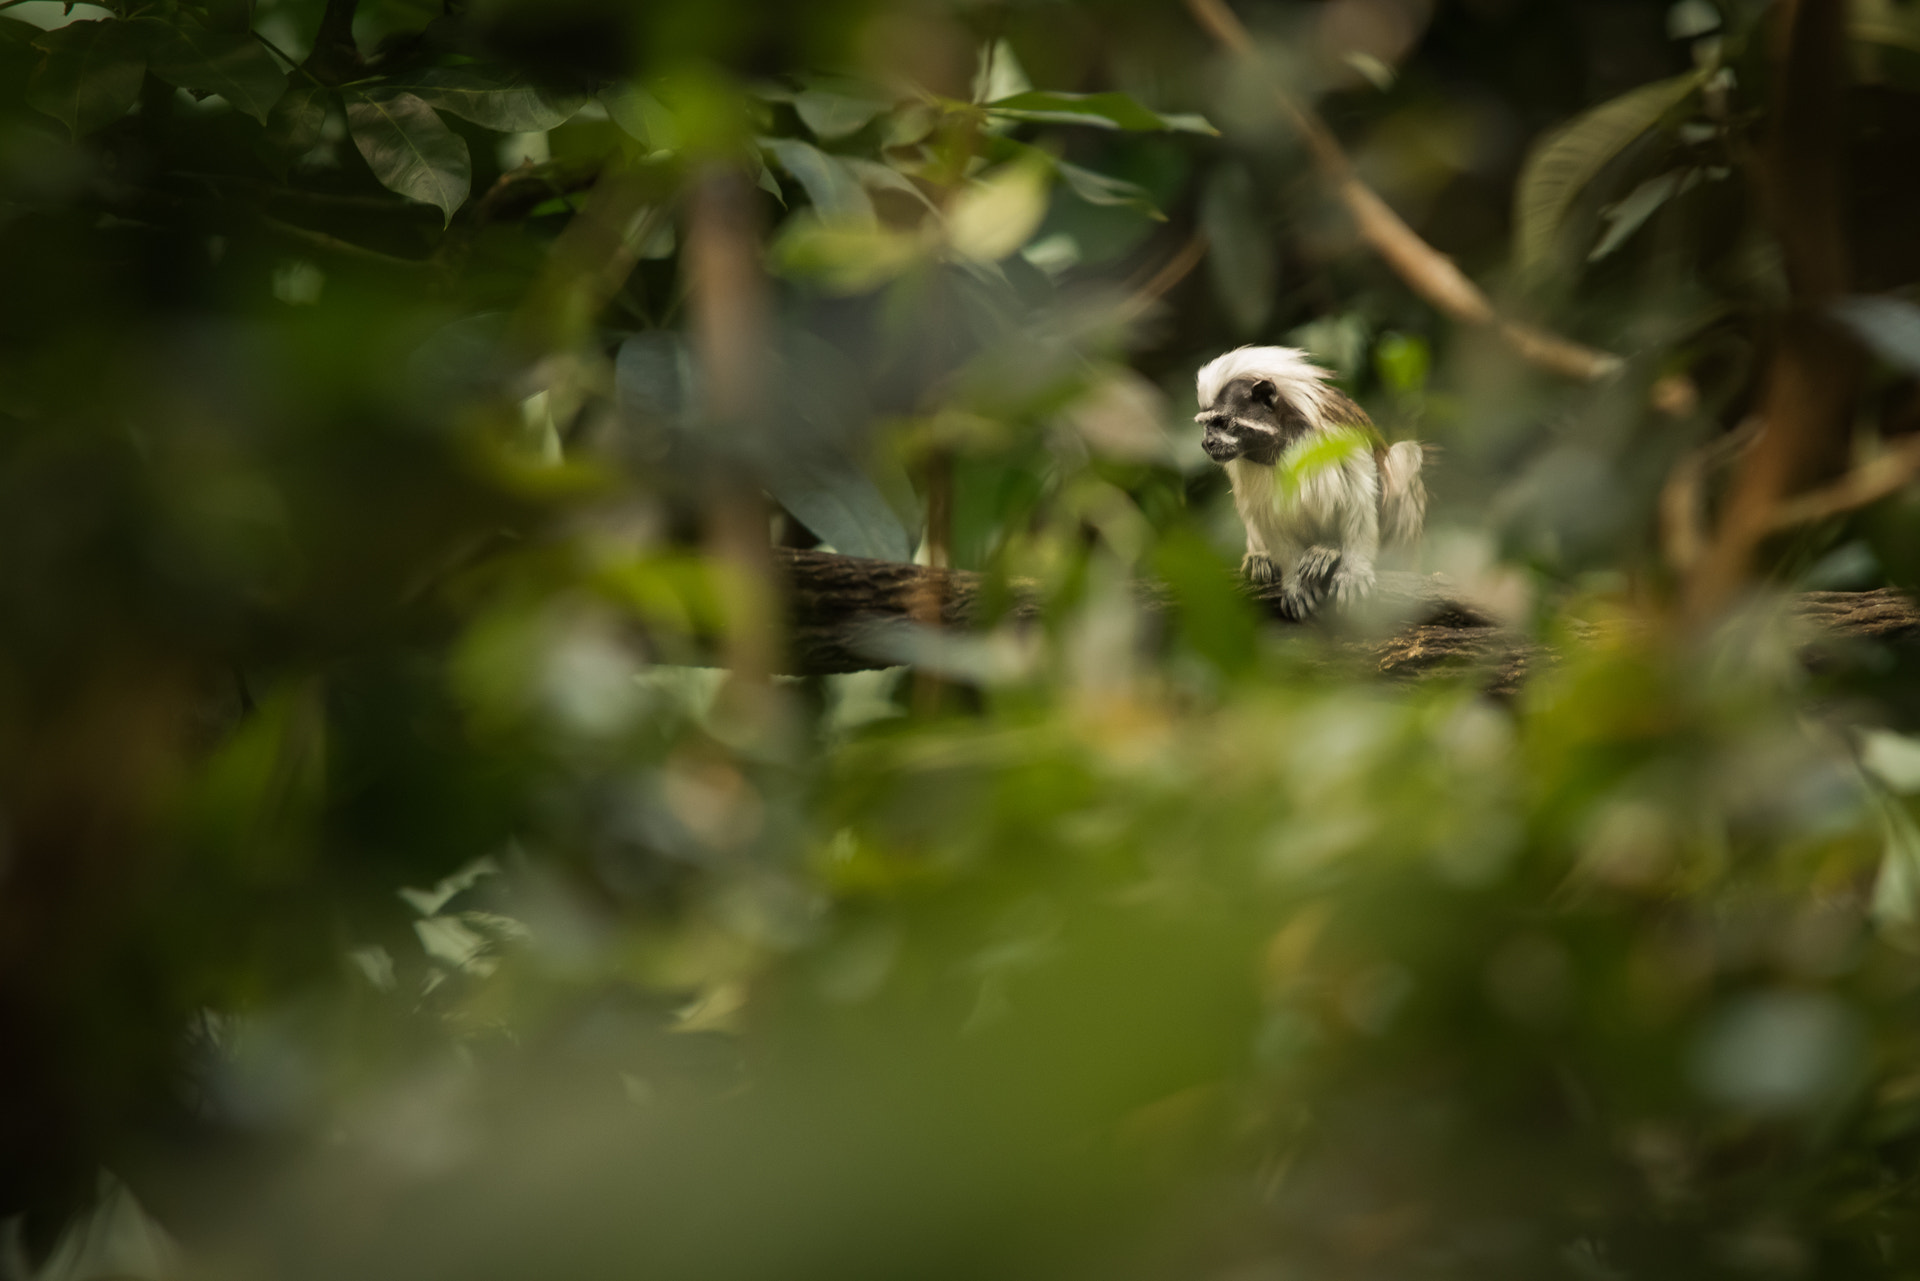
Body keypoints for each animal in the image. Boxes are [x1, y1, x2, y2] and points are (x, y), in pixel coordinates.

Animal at [1195, 345, 1427, 619]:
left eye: (1220, 422)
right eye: (1206, 425)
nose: (1206, 443)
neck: (1282, 440)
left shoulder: (1341, 437)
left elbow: (1359, 495)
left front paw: (1353, 569)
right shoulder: (1242, 464)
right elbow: (1268, 517)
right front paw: (1293, 581)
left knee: (1406, 457)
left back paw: (1329, 550)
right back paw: (1261, 558)